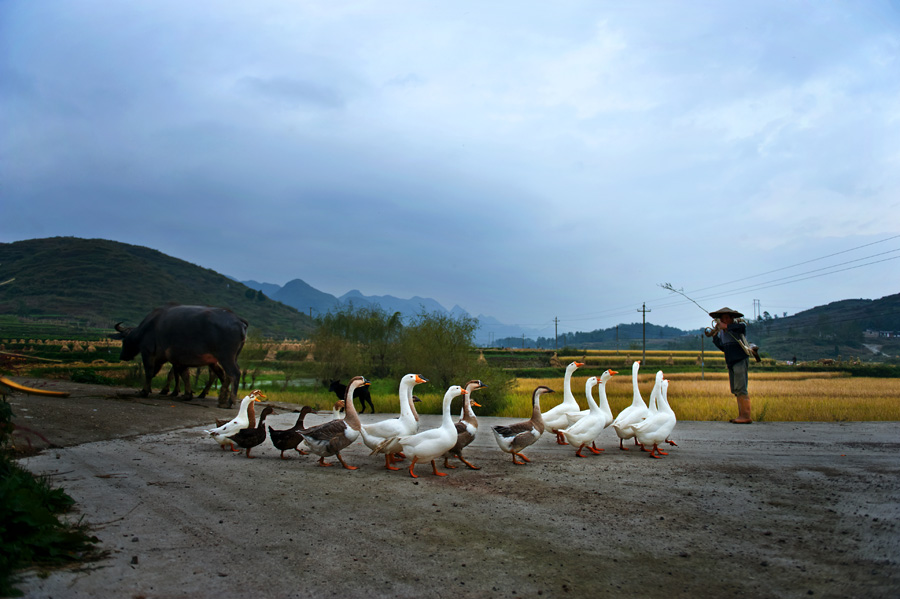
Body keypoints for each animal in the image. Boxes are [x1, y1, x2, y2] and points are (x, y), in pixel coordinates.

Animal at [110, 304, 248, 408]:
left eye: (124, 340)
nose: (122, 356)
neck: (147, 329)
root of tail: (238, 320)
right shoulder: (177, 359)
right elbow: (182, 374)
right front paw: (186, 394)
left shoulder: (148, 352)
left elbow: (150, 372)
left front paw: (145, 391)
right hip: (226, 358)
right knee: (224, 375)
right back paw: (220, 398)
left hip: (225, 357)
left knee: (233, 374)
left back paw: (228, 402)